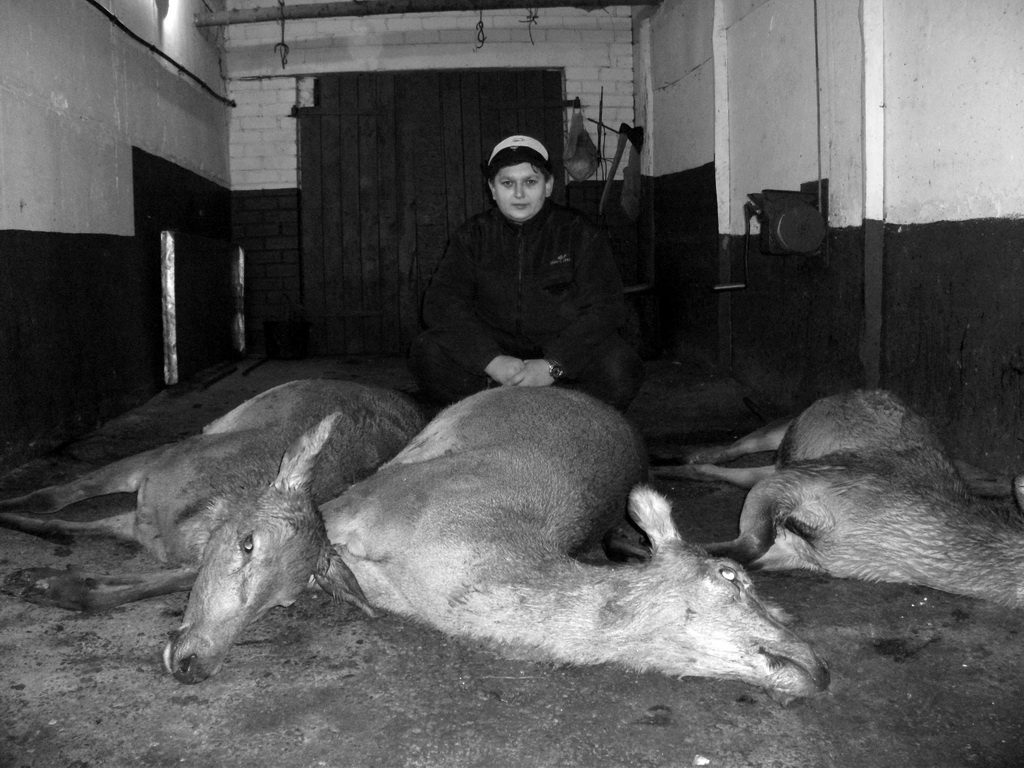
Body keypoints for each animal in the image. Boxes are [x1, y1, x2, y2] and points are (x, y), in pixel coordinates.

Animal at [1, 379, 425, 670]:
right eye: (248, 543)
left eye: (283, 602)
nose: (194, 666)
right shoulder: (155, 465)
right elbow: (52, 498)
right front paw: (10, 512)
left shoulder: (149, 527)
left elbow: (126, 581)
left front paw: (39, 581)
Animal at [656, 388, 1024, 607]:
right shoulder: (802, 480)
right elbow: (751, 542)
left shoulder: (802, 550)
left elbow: (743, 552)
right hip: (784, 432)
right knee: (737, 445)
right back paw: (685, 455)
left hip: (771, 465)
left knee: (723, 471)